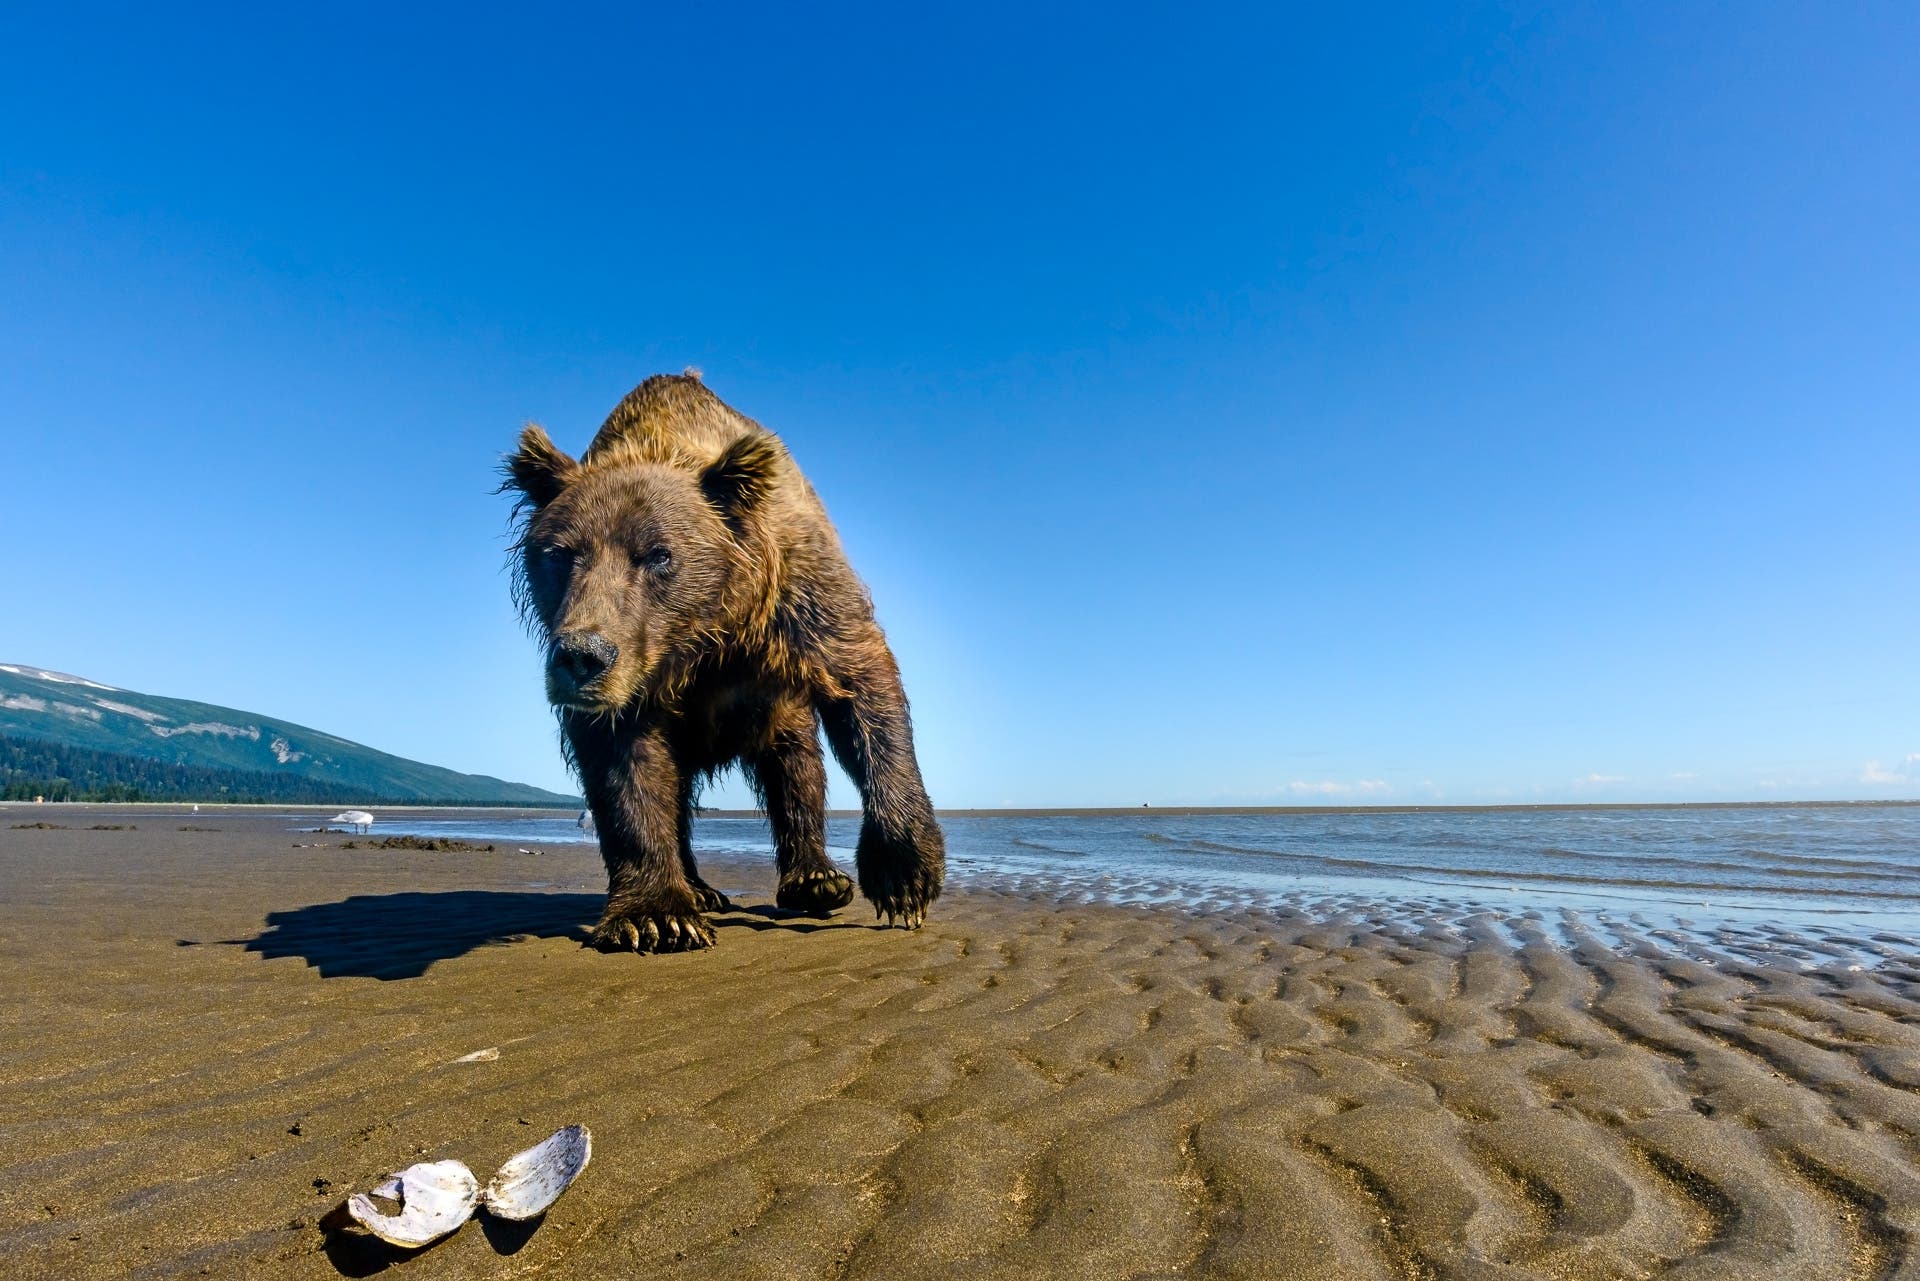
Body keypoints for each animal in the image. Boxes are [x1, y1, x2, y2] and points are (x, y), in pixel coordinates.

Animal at [502, 372, 946, 953]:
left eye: (658, 554)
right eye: (559, 554)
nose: (582, 656)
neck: (704, 632)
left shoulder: (798, 594)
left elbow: (862, 688)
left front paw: (905, 878)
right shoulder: (635, 669)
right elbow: (627, 764)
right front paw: (657, 914)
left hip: (782, 707)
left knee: (795, 768)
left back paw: (817, 879)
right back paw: (698, 889)